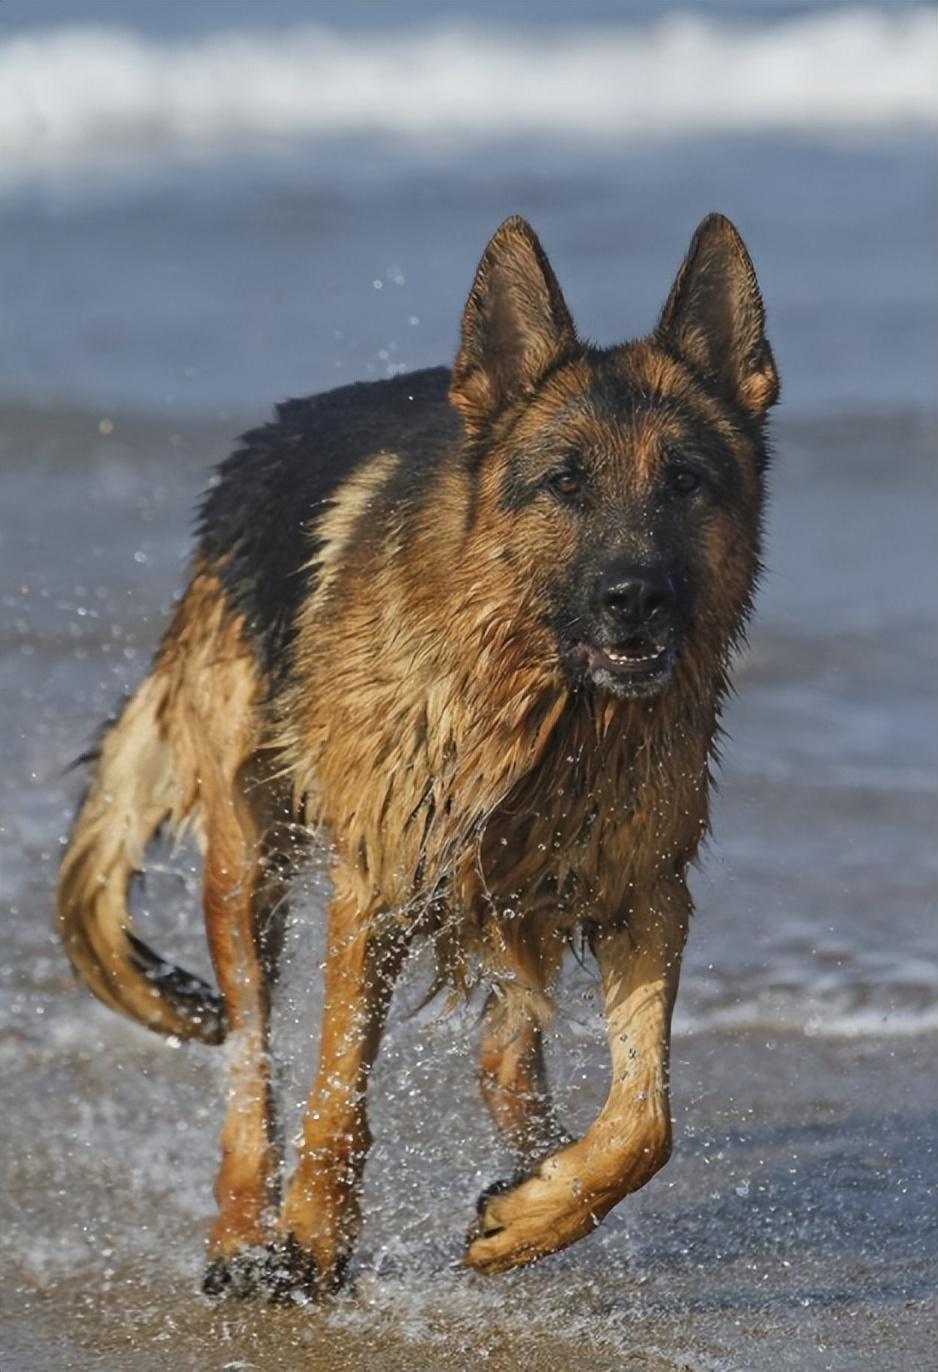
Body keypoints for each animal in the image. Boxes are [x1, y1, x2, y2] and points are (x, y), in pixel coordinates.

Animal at [56, 214, 778, 1295]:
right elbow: (337, 1084)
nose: (634, 598)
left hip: (518, 892)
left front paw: (537, 1210)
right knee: (252, 1065)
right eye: (565, 482)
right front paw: (313, 1233)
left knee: (504, 1057)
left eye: (684, 481)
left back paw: (532, 1174)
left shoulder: (643, 891)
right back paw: (240, 1229)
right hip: (249, 865)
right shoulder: (380, 885)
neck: (543, 709)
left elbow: (645, 1122)